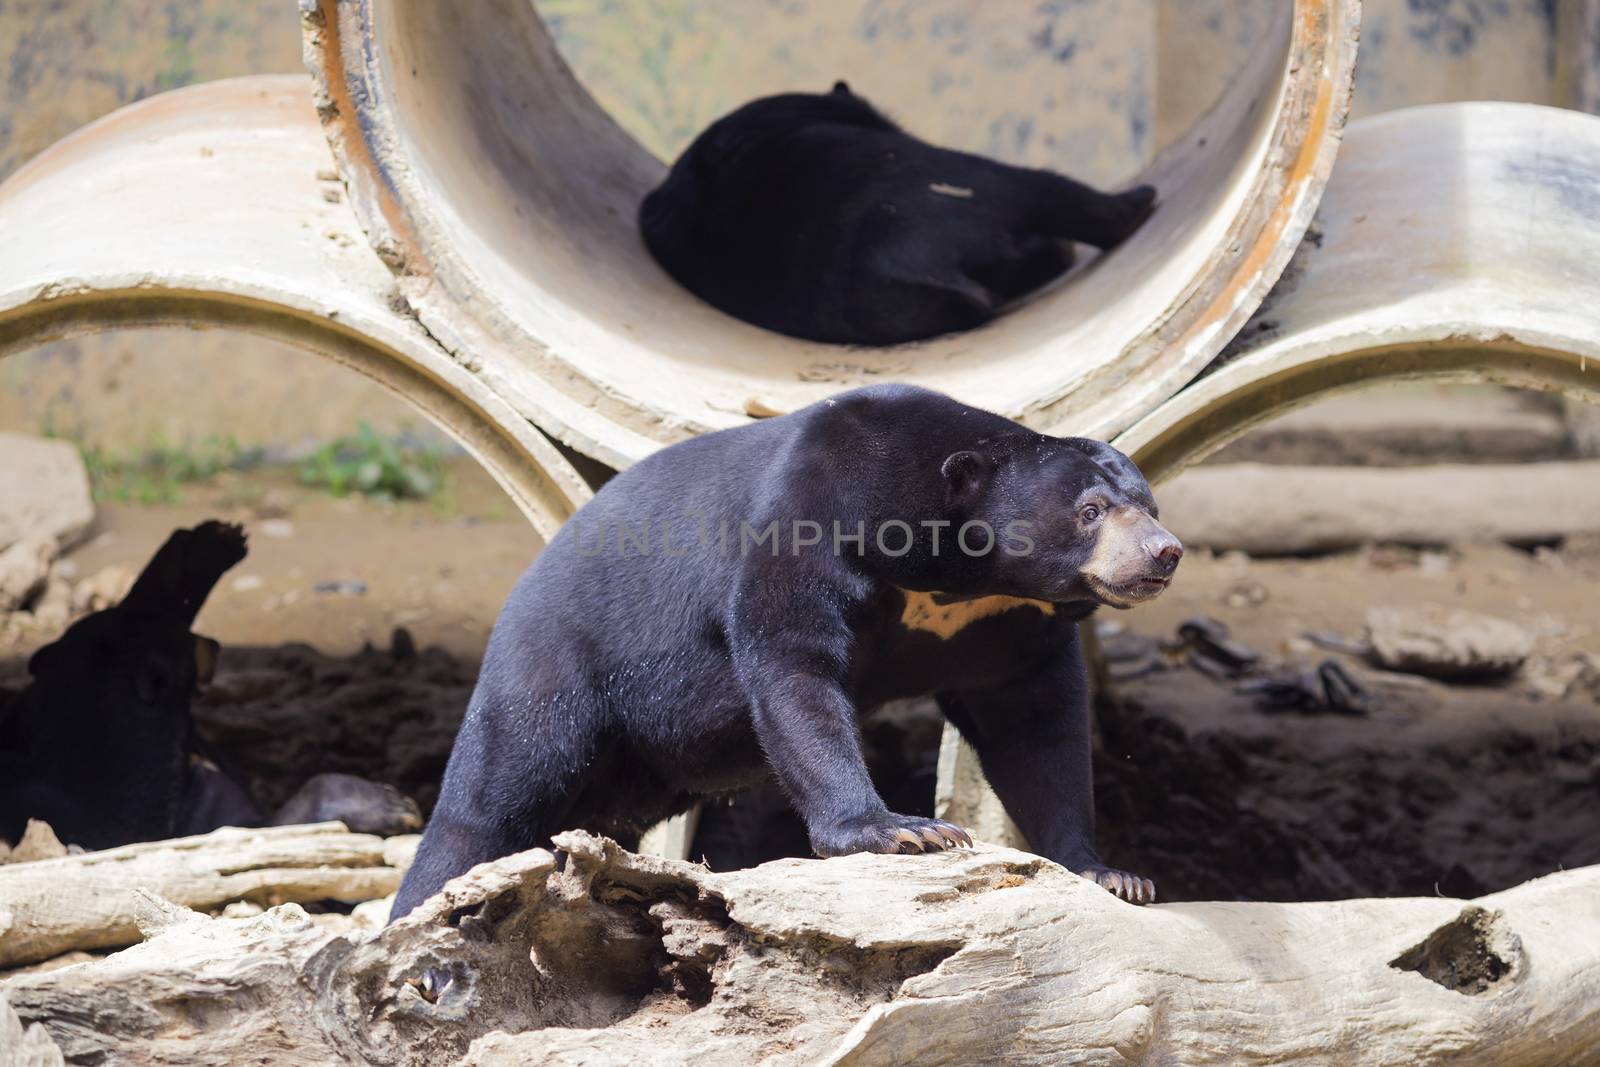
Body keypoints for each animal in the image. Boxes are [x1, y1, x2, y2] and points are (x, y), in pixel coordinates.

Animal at [393, 383, 1184, 921]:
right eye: (1089, 512)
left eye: (1149, 505)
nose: (1164, 553)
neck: (955, 567)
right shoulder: (816, 514)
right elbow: (794, 665)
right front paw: (905, 831)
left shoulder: (1003, 622)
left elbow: (1033, 725)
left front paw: (1111, 874)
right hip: (558, 660)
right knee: (495, 795)